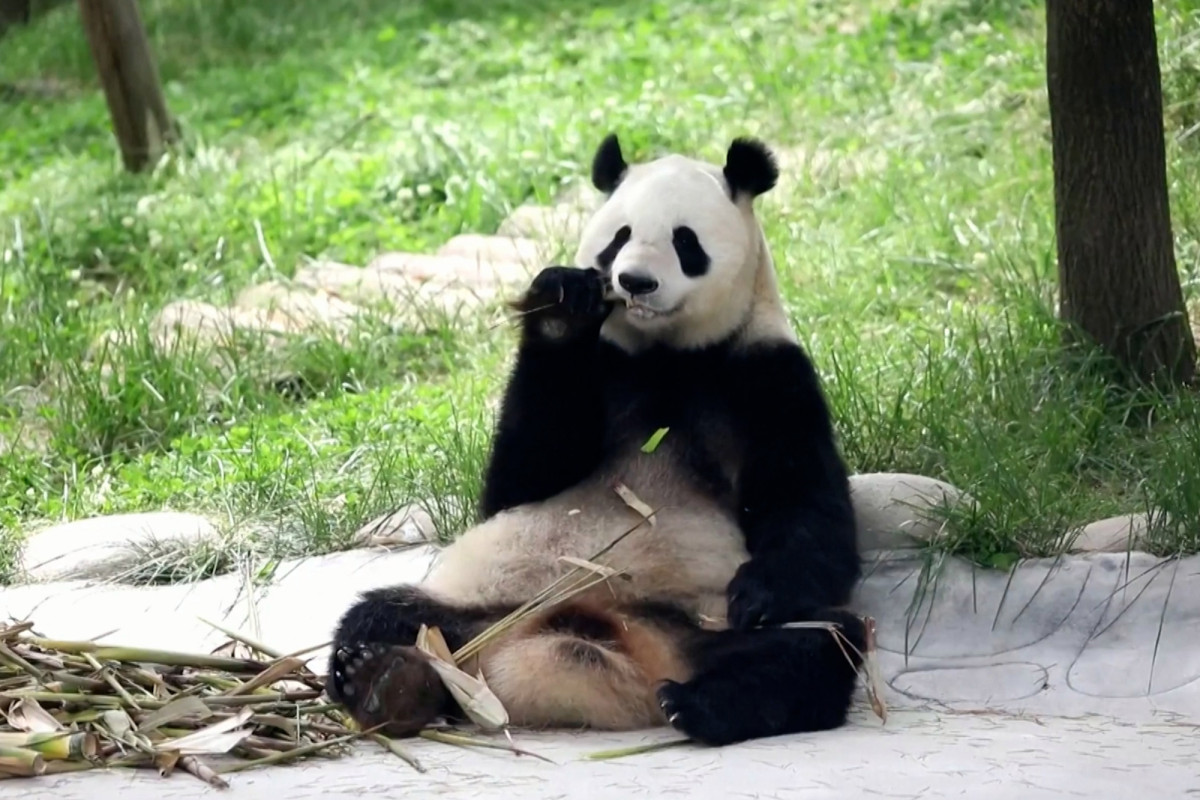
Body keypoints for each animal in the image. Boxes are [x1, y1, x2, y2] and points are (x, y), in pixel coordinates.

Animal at [324, 133, 865, 747]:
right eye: (618, 238)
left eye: (685, 241)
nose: (635, 282)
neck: (668, 355)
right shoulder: (606, 366)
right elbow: (521, 480)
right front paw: (563, 307)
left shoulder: (766, 374)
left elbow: (807, 511)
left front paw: (757, 595)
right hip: (487, 604)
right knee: (381, 616)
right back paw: (386, 682)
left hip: (693, 624)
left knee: (818, 643)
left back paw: (702, 704)